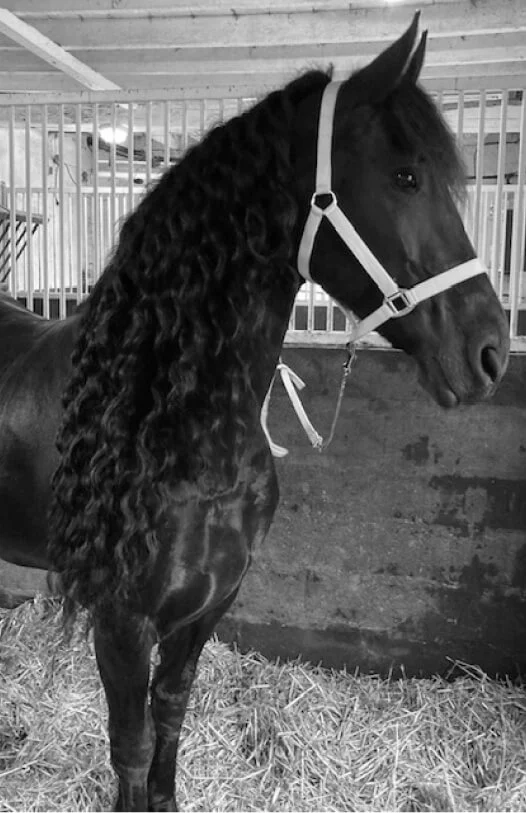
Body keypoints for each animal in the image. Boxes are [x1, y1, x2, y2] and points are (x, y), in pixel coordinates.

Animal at [0, 15, 510, 812]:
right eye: (406, 176)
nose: (491, 352)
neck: (160, 422)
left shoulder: (207, 608)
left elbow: (171, 721)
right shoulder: (122, 620)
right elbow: (130, 744)